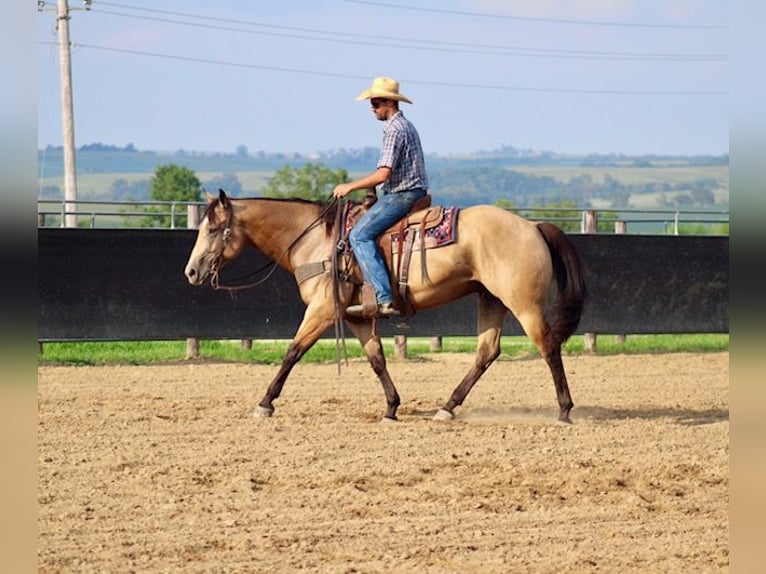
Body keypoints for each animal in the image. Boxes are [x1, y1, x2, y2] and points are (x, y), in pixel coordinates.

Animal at [184, 189, 586, 423]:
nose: (191, 271)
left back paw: (565, 410)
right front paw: (392, 407)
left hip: (524, 303)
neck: (318, 240)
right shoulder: (357, 318)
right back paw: (447, 407)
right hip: (491, 300)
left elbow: (292, 352)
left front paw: (265, 403)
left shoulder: (322, 310)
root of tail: (532, 226)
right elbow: (376, 358)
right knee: (487, 352)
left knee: (549, 345)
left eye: (212, 230)